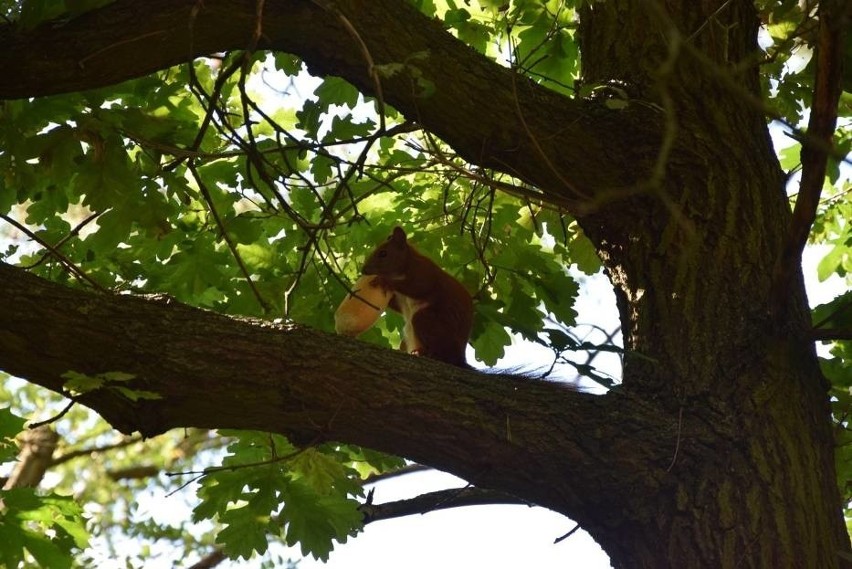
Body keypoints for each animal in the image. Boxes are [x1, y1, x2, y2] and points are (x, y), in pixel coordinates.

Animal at [362, 227, 476, 368]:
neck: (406, 265)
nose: (363, 270)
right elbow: (396, 305)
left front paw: (384, 280)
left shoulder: (425, 273)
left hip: (429, 322)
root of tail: (459, 358)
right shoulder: (400, 300)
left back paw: (430, 354)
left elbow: (419, 287)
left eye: (383, 253)